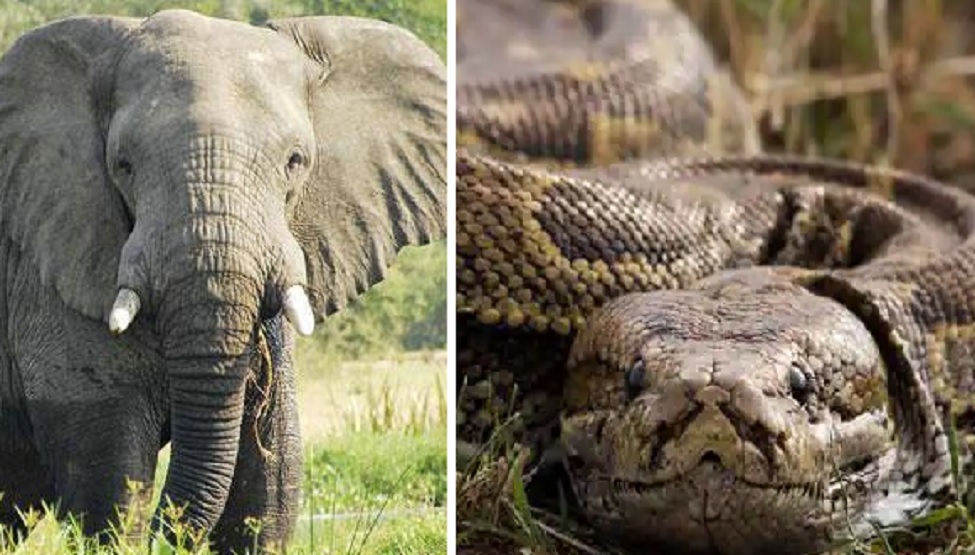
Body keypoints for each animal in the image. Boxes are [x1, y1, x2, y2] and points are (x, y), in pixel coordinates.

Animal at [0, 9, 445, 553]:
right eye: (123, 165)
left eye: (295, 162)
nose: (169, 533)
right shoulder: (51, 269)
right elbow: (110, 483)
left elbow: (271, 484)